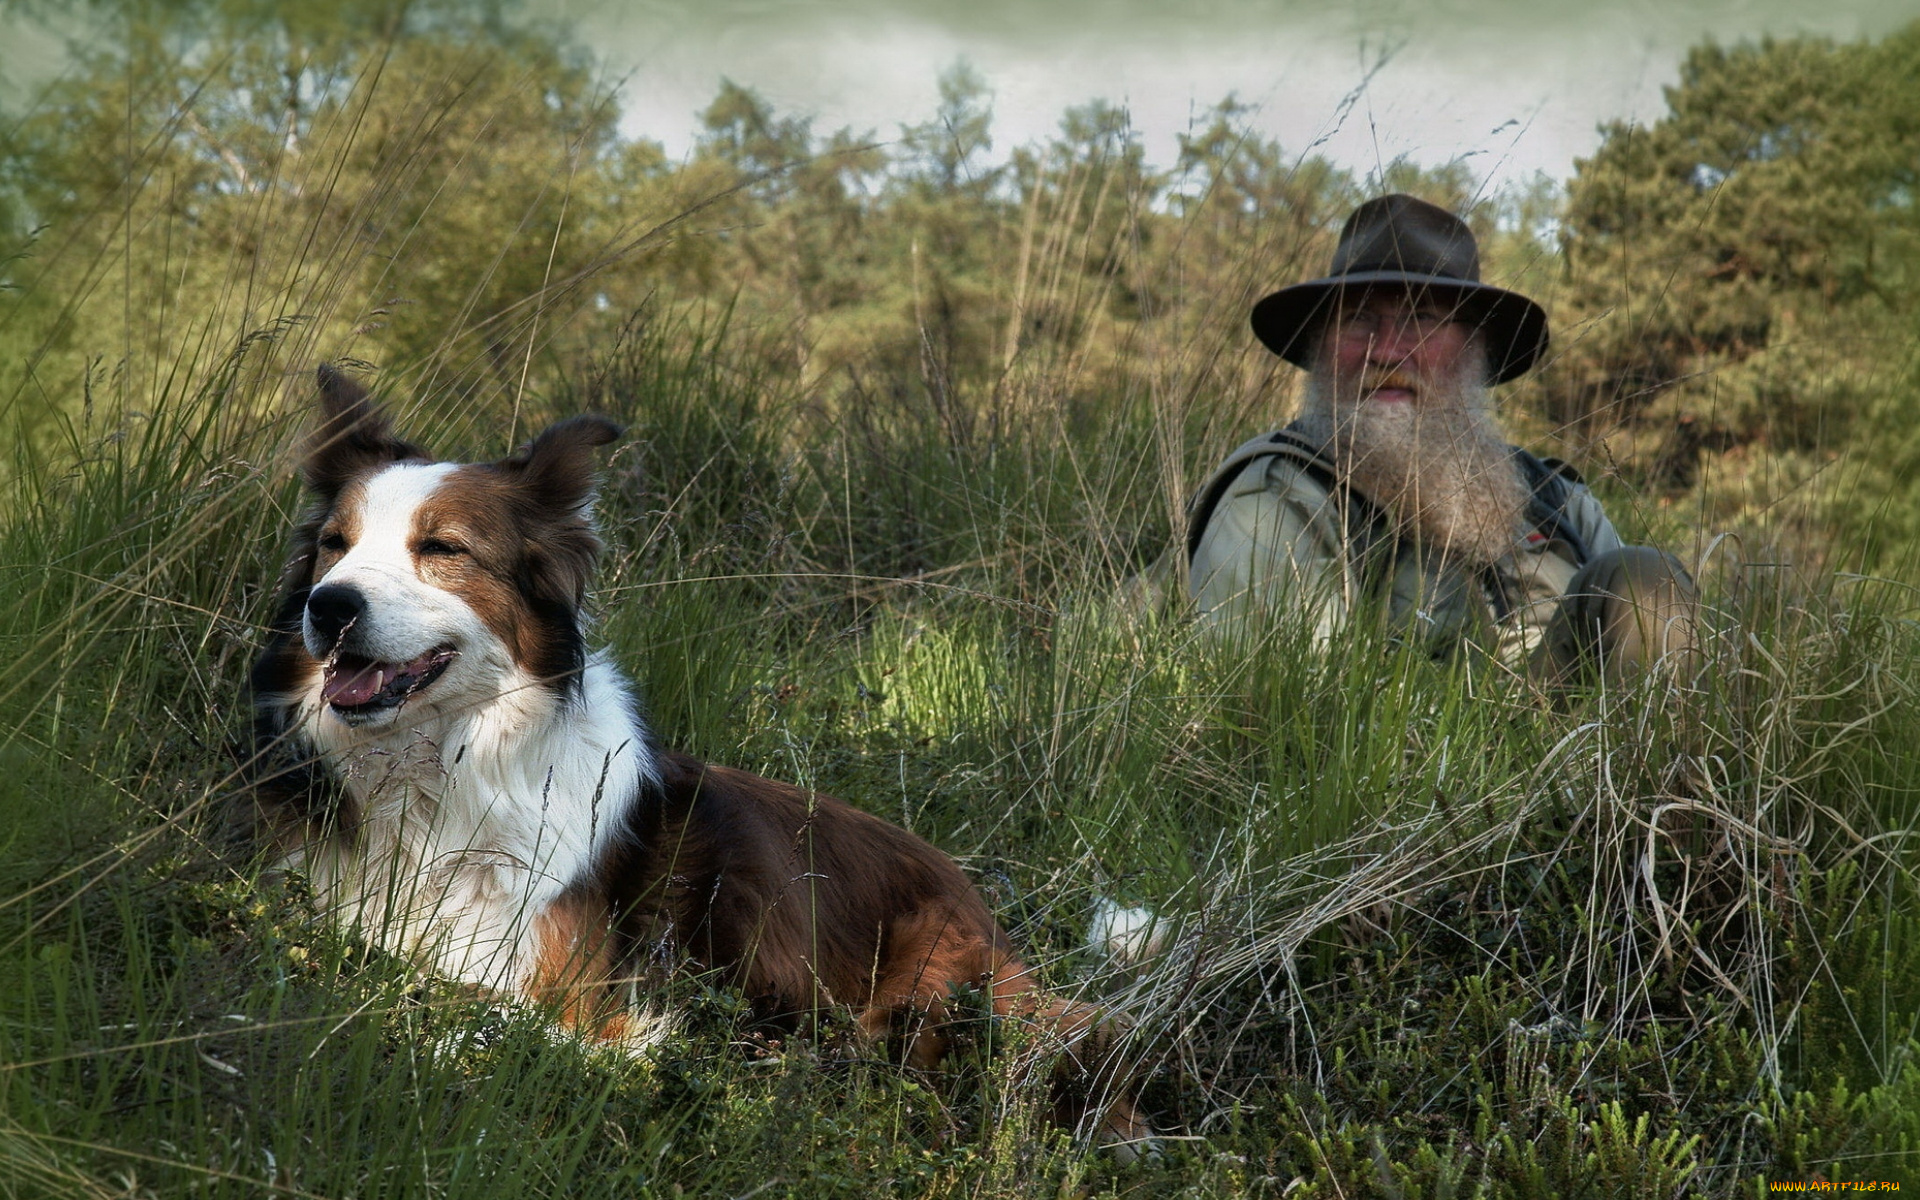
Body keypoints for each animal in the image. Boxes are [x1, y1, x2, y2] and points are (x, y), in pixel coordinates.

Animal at [251, 364, 1152, 1152]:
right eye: (334, 544)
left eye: (442, 548)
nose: (329, 608)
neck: (435, 776)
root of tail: (973, 894)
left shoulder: (585, 1008)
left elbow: (460, 1023)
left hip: (947, 991)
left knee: (1087, 1030)